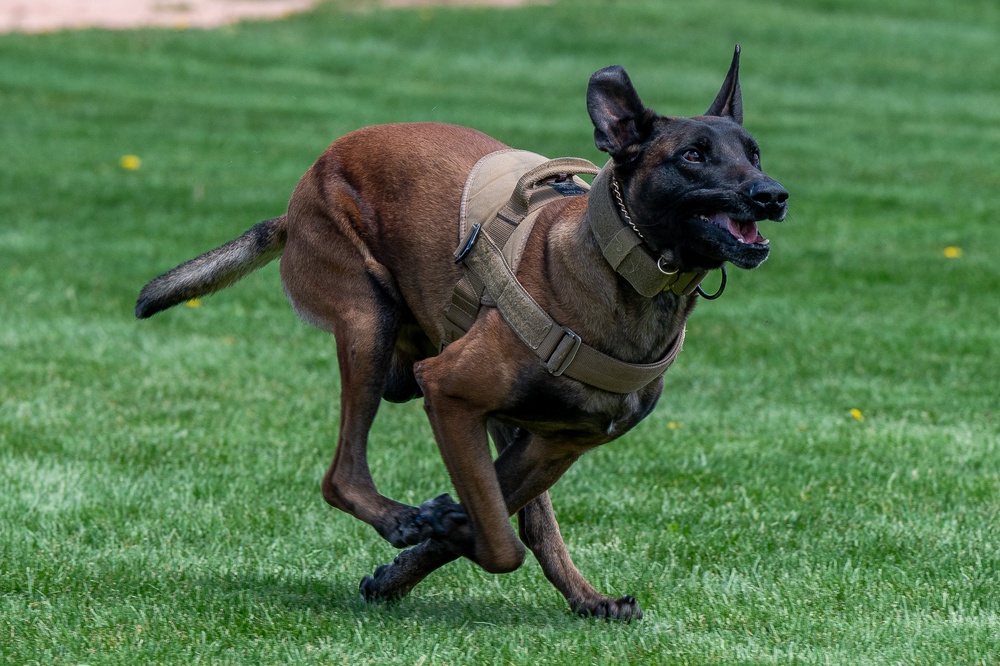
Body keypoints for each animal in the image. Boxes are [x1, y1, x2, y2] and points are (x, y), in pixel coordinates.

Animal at [135, 45, 788, 616]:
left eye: (754, 155)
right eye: (693, 156)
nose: (773, 195)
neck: (620, 277)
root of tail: (295, 205)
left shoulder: (556, 442)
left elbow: (504, 516)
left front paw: (406, 564)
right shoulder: (448, 390)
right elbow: (499, 543)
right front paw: (433, 532)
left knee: (531, 520)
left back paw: (585, 598)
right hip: (367, 322)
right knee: (342, 475)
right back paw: (402, 517)